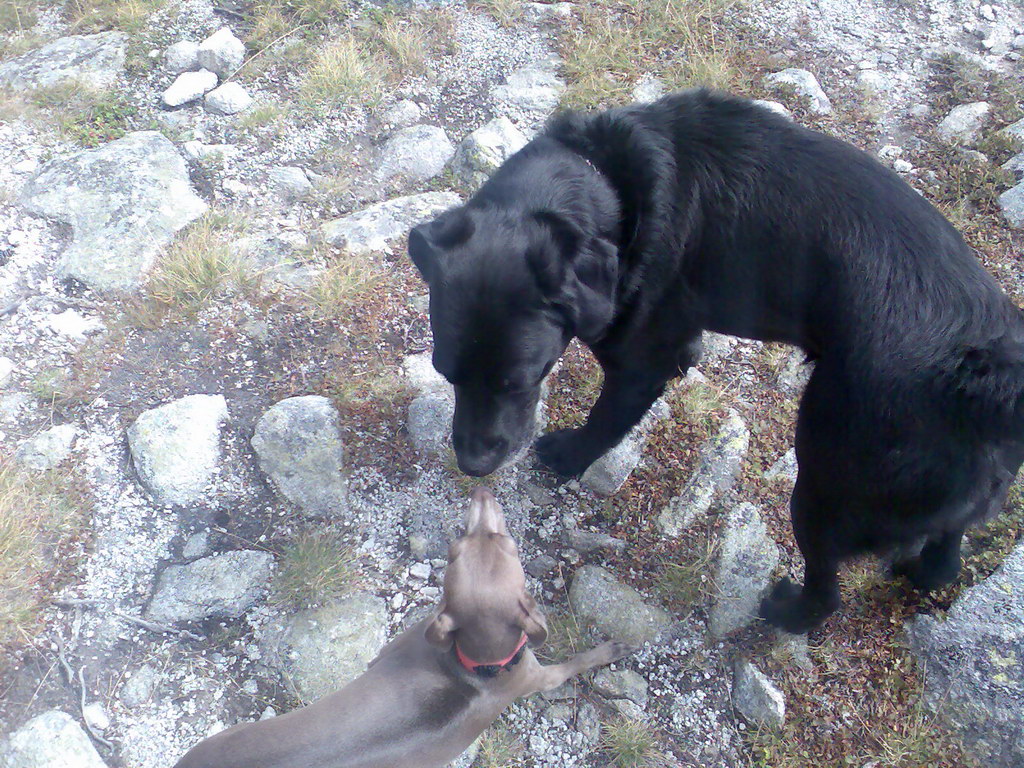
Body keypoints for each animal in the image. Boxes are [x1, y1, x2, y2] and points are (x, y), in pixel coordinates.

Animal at [409, 88, 1024, 630]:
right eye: (444, 373)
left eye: (521, 380)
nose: (472, 465)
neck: (608, 181)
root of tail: (978, 382)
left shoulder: (639, 365)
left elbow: (606, 420)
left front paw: (567, 455)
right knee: (946, 551)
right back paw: (924, 573)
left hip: (824, 482)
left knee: (827, 590)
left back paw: (788, 613)